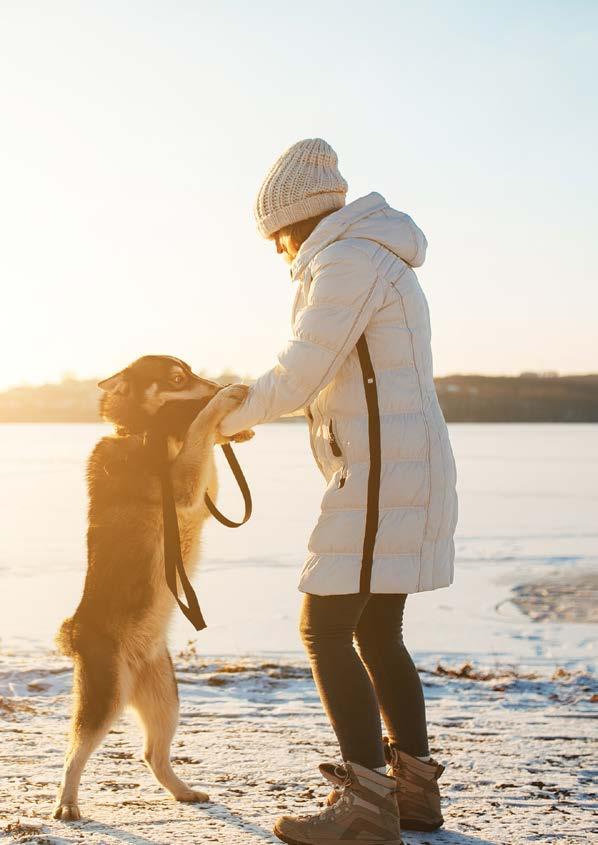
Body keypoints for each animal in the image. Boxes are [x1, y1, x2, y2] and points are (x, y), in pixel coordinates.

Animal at [54, 354, 253, 816]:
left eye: (193, 372)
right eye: (177, 379)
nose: (217, 383)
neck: (144, 431)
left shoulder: (199, 490)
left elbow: (205, 444)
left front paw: (232, 427)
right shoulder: (179, 488)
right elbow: (199, 430)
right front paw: (220, 405)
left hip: (166, 698)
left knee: (151, 755)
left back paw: (182, 790)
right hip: (104, 696)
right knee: (74, 752)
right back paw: (67, 803)